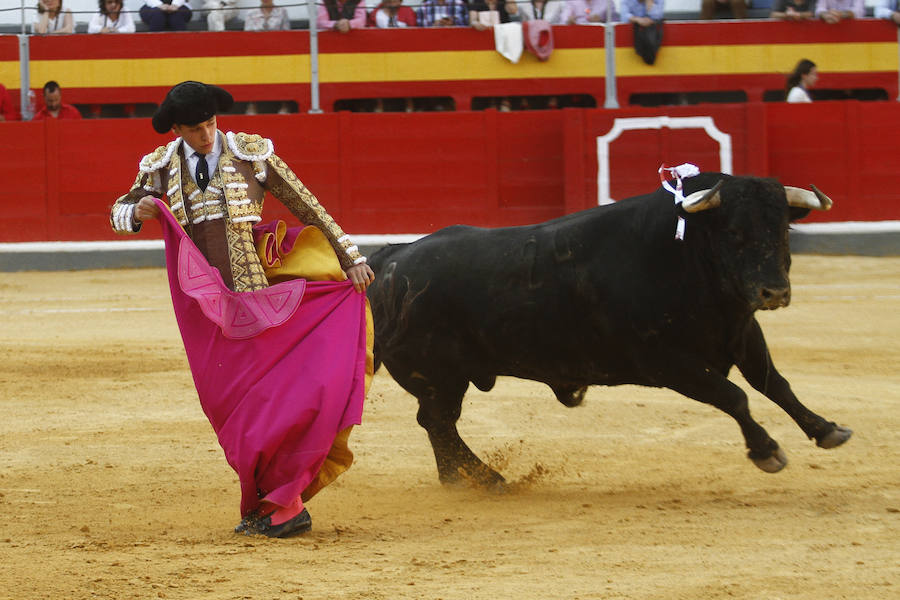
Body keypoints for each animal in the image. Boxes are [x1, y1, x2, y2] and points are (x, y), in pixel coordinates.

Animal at [366, 173, 852, 488]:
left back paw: (464, 479)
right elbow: (735, 396)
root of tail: (391, 259)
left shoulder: (742, 332)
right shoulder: (668, 362)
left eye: (783, 228)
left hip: (444, 377)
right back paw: (484, 478)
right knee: (439, 422)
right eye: (732, 231)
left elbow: (775, 383)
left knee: (437, 424)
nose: (774, 291)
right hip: (438, 376)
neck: (686, 255)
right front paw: (767, 451)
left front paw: (827, 429)